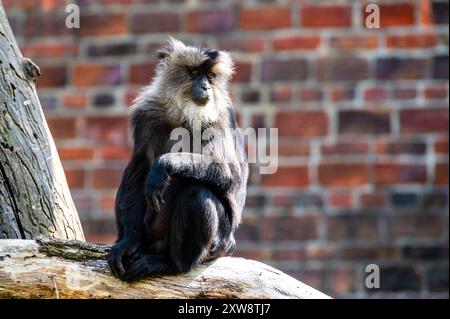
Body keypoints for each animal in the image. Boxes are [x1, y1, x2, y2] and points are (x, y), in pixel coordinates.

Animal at [108, 37, 250, 282]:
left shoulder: (221, 118)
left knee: (196, 191)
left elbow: (229, 172)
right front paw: (127, 243)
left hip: (218, 243)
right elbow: (137, 173)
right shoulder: (146, 115)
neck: (185, 116)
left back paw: (170, 264)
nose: (206, 87)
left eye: (210, 76)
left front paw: (165, 165)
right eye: (194, 72)